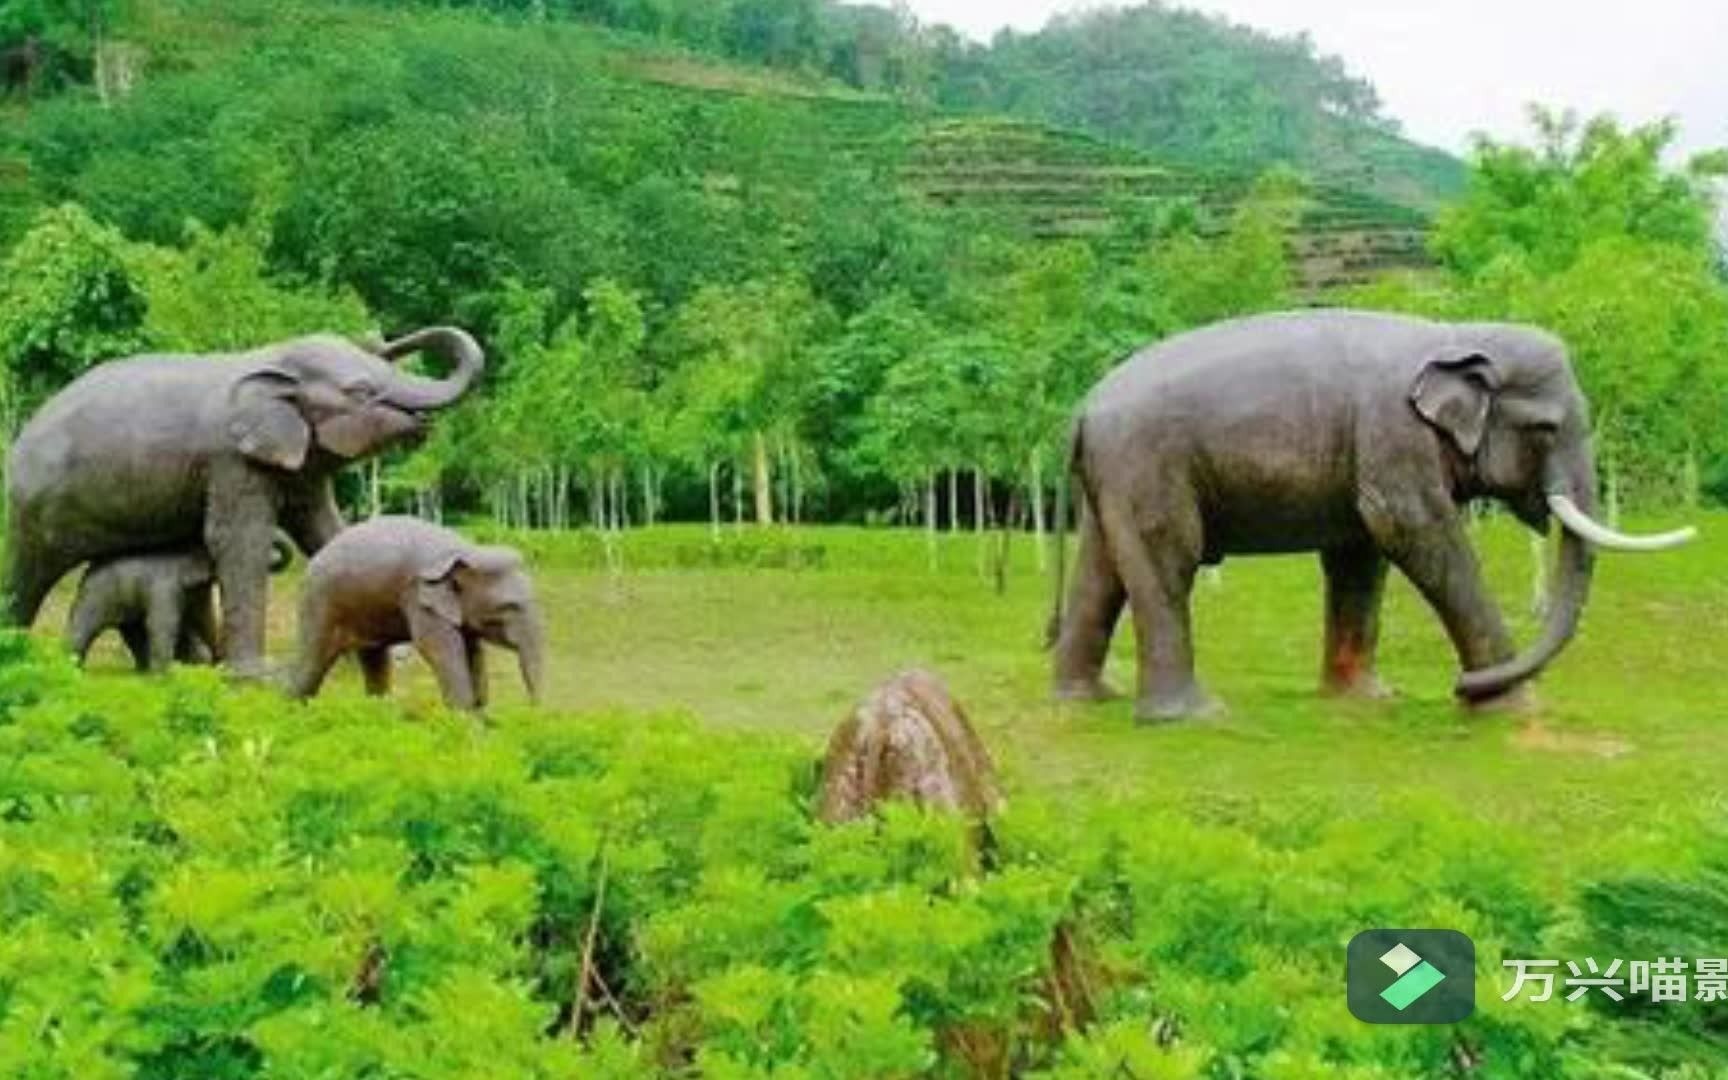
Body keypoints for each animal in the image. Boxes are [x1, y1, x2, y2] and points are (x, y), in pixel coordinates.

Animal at [65, 535, 293, 672]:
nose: (218, 663)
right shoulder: (164, 587)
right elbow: (164, 624)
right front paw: (165, 676)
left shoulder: (197, 590)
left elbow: (204, 620)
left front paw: (210, 665)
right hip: (96, 595)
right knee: (84, 627)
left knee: (133, 634)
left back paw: (142, 671)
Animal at [288, 516, 545, 710]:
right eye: (508, 606)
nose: (532, 711)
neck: (465, 551)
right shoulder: (418, 599)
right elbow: (437, 649)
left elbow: (473, 651)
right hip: (319, 602)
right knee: (310, 666)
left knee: (374, 660)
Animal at [1046, 309, 1695, 723]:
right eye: (1546, 428)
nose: (1458, 687)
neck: (1454, 335)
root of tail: (1082, 408)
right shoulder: (1394, 436)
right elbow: (1408, 529)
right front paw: (1511, 705)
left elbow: (1360, 553)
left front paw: (1369, 699)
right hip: (1148, 463)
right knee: (1167, 561)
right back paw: (1193, 716)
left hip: (1116, 476)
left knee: (1102, 572)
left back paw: (1088, 698)